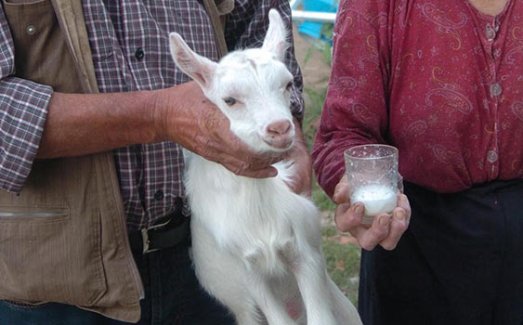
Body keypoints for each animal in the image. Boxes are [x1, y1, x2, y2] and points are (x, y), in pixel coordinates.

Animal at [170, 9, 362, 324]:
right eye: (229, 100)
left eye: (288, 85)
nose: (280, 127)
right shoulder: (249, 274)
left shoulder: (305, 253)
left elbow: (320, 317)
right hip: (244, 310)